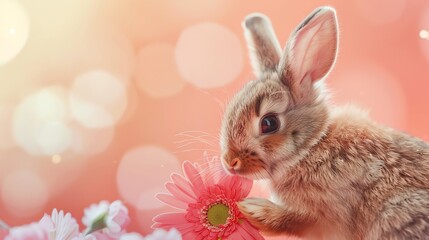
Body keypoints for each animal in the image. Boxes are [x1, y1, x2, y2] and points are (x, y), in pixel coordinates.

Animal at [219, 5, 428, 240]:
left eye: (269, 123)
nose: (229, 162)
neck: (311, 148)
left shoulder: (327, 213)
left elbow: (294, 220)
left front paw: (253, 209)